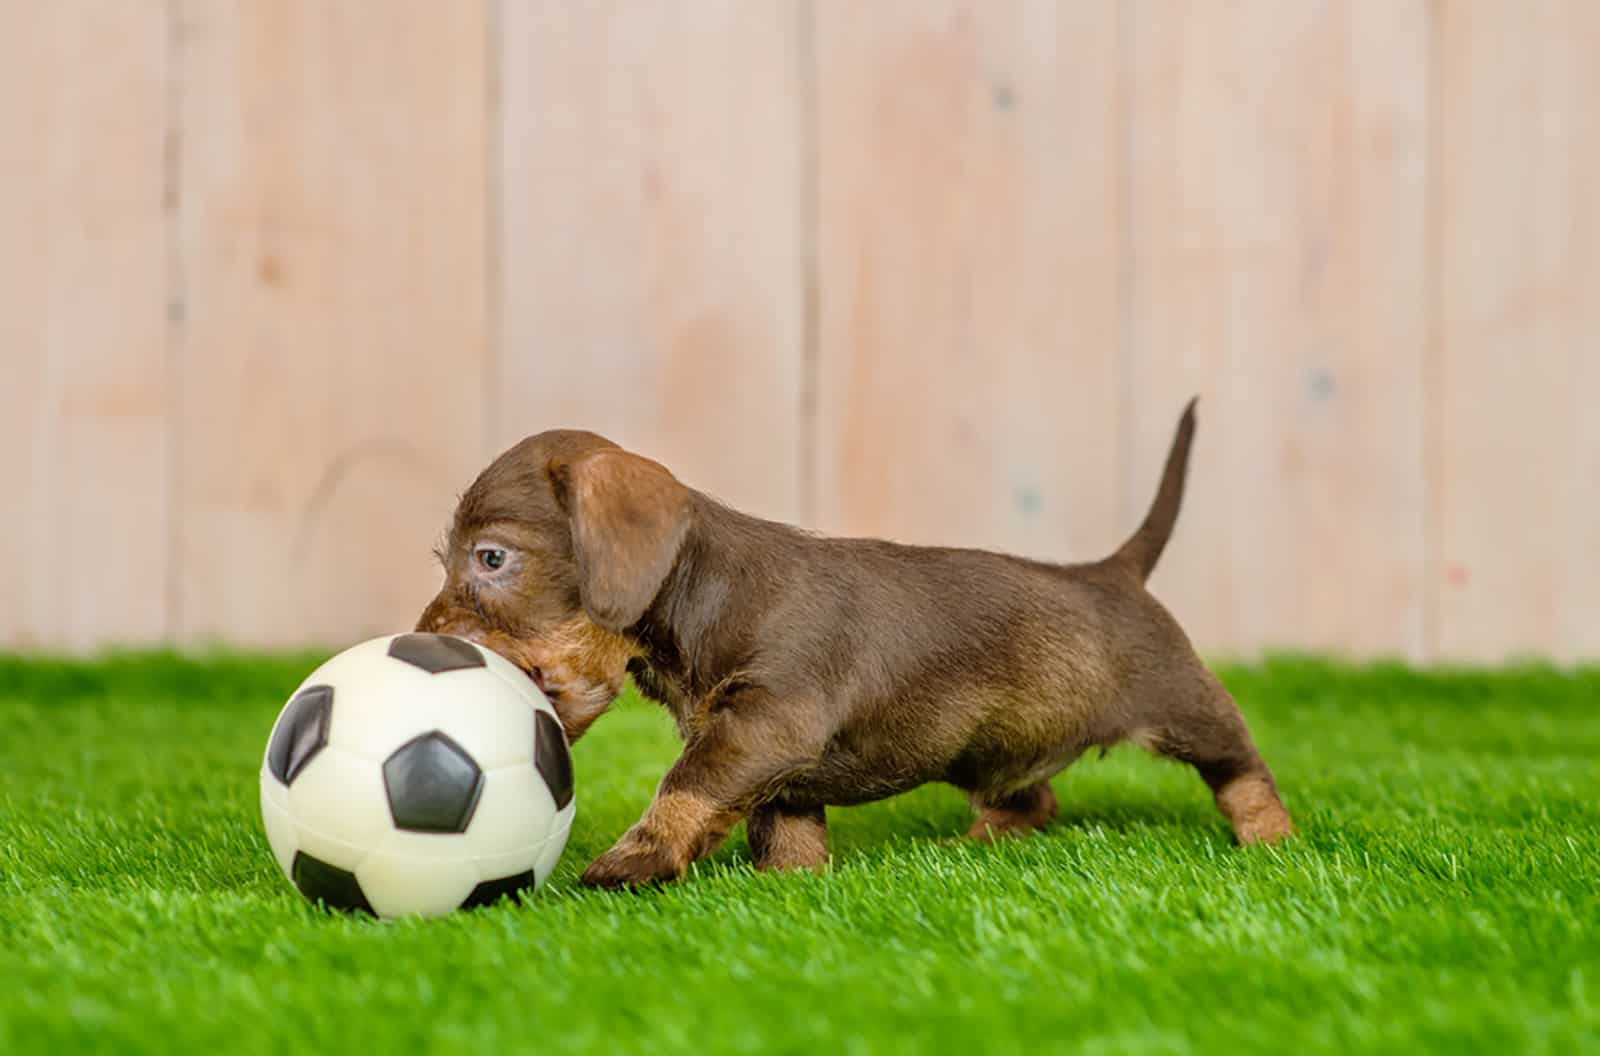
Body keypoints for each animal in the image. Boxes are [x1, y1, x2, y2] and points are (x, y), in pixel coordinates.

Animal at [419, 400, 1292, 889]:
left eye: (491, 558)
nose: (424, 640)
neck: (704, 594)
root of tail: (1113, 571)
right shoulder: (773, 756)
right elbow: (784, 826)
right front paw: (788, 885)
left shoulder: (763, 722)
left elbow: (686, 786)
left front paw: (639, 858)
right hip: (991, 748)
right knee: (1031, 799)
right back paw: (980, 840)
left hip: (1184, 705)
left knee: (1242, 767)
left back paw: (1270, 835)